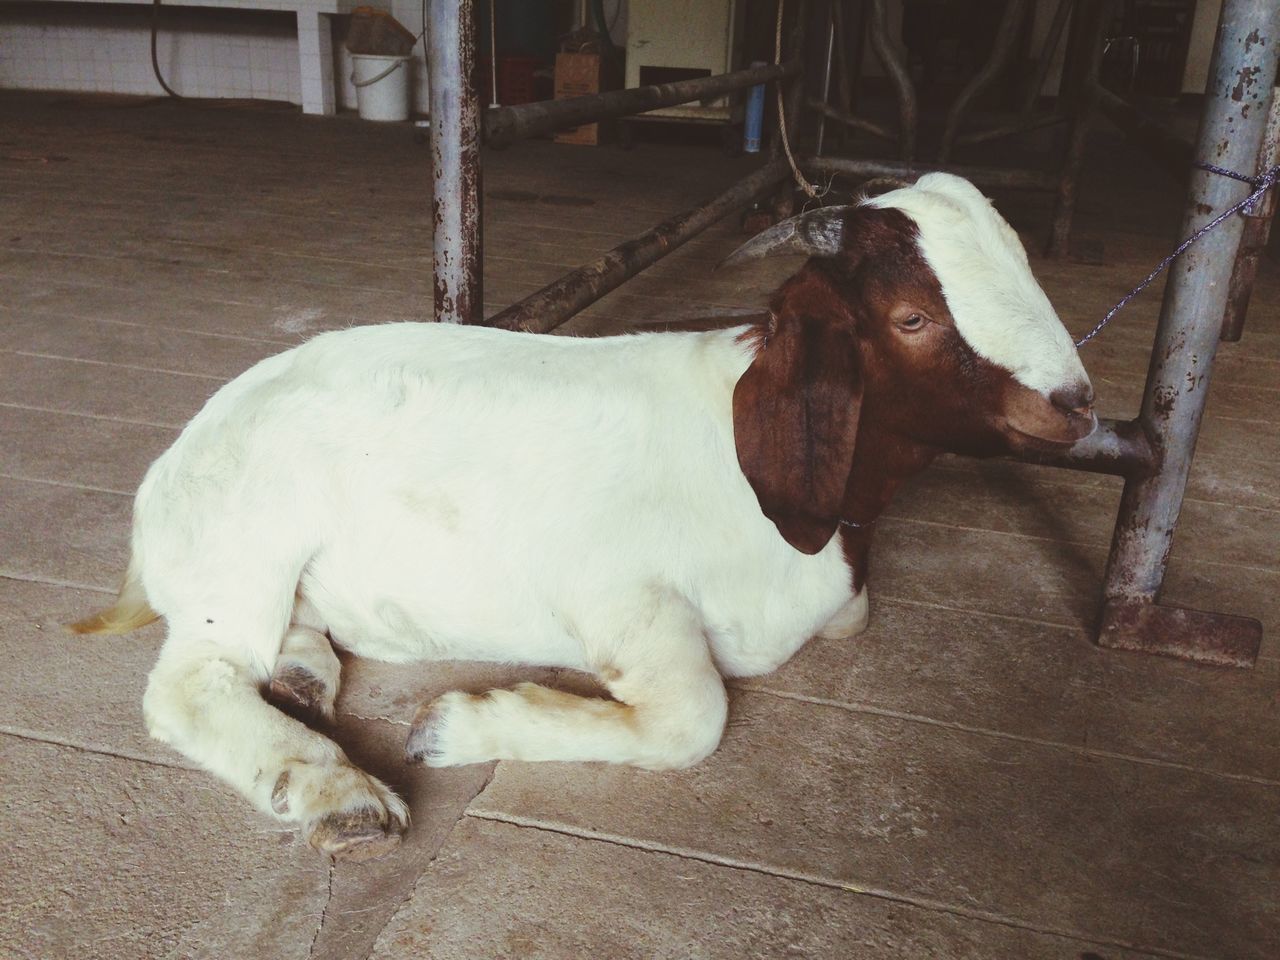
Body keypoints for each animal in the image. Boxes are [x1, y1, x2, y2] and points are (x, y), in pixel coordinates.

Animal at [72, 175, 1090, 865]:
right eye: (914, 317)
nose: (1075, 404)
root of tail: (171, 469)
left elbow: (850, 616)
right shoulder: (622, 597)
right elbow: (695, 718)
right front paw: (452, 729)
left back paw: (299, 678)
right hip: (243, 552)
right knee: (189, 684)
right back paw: (342, 798)